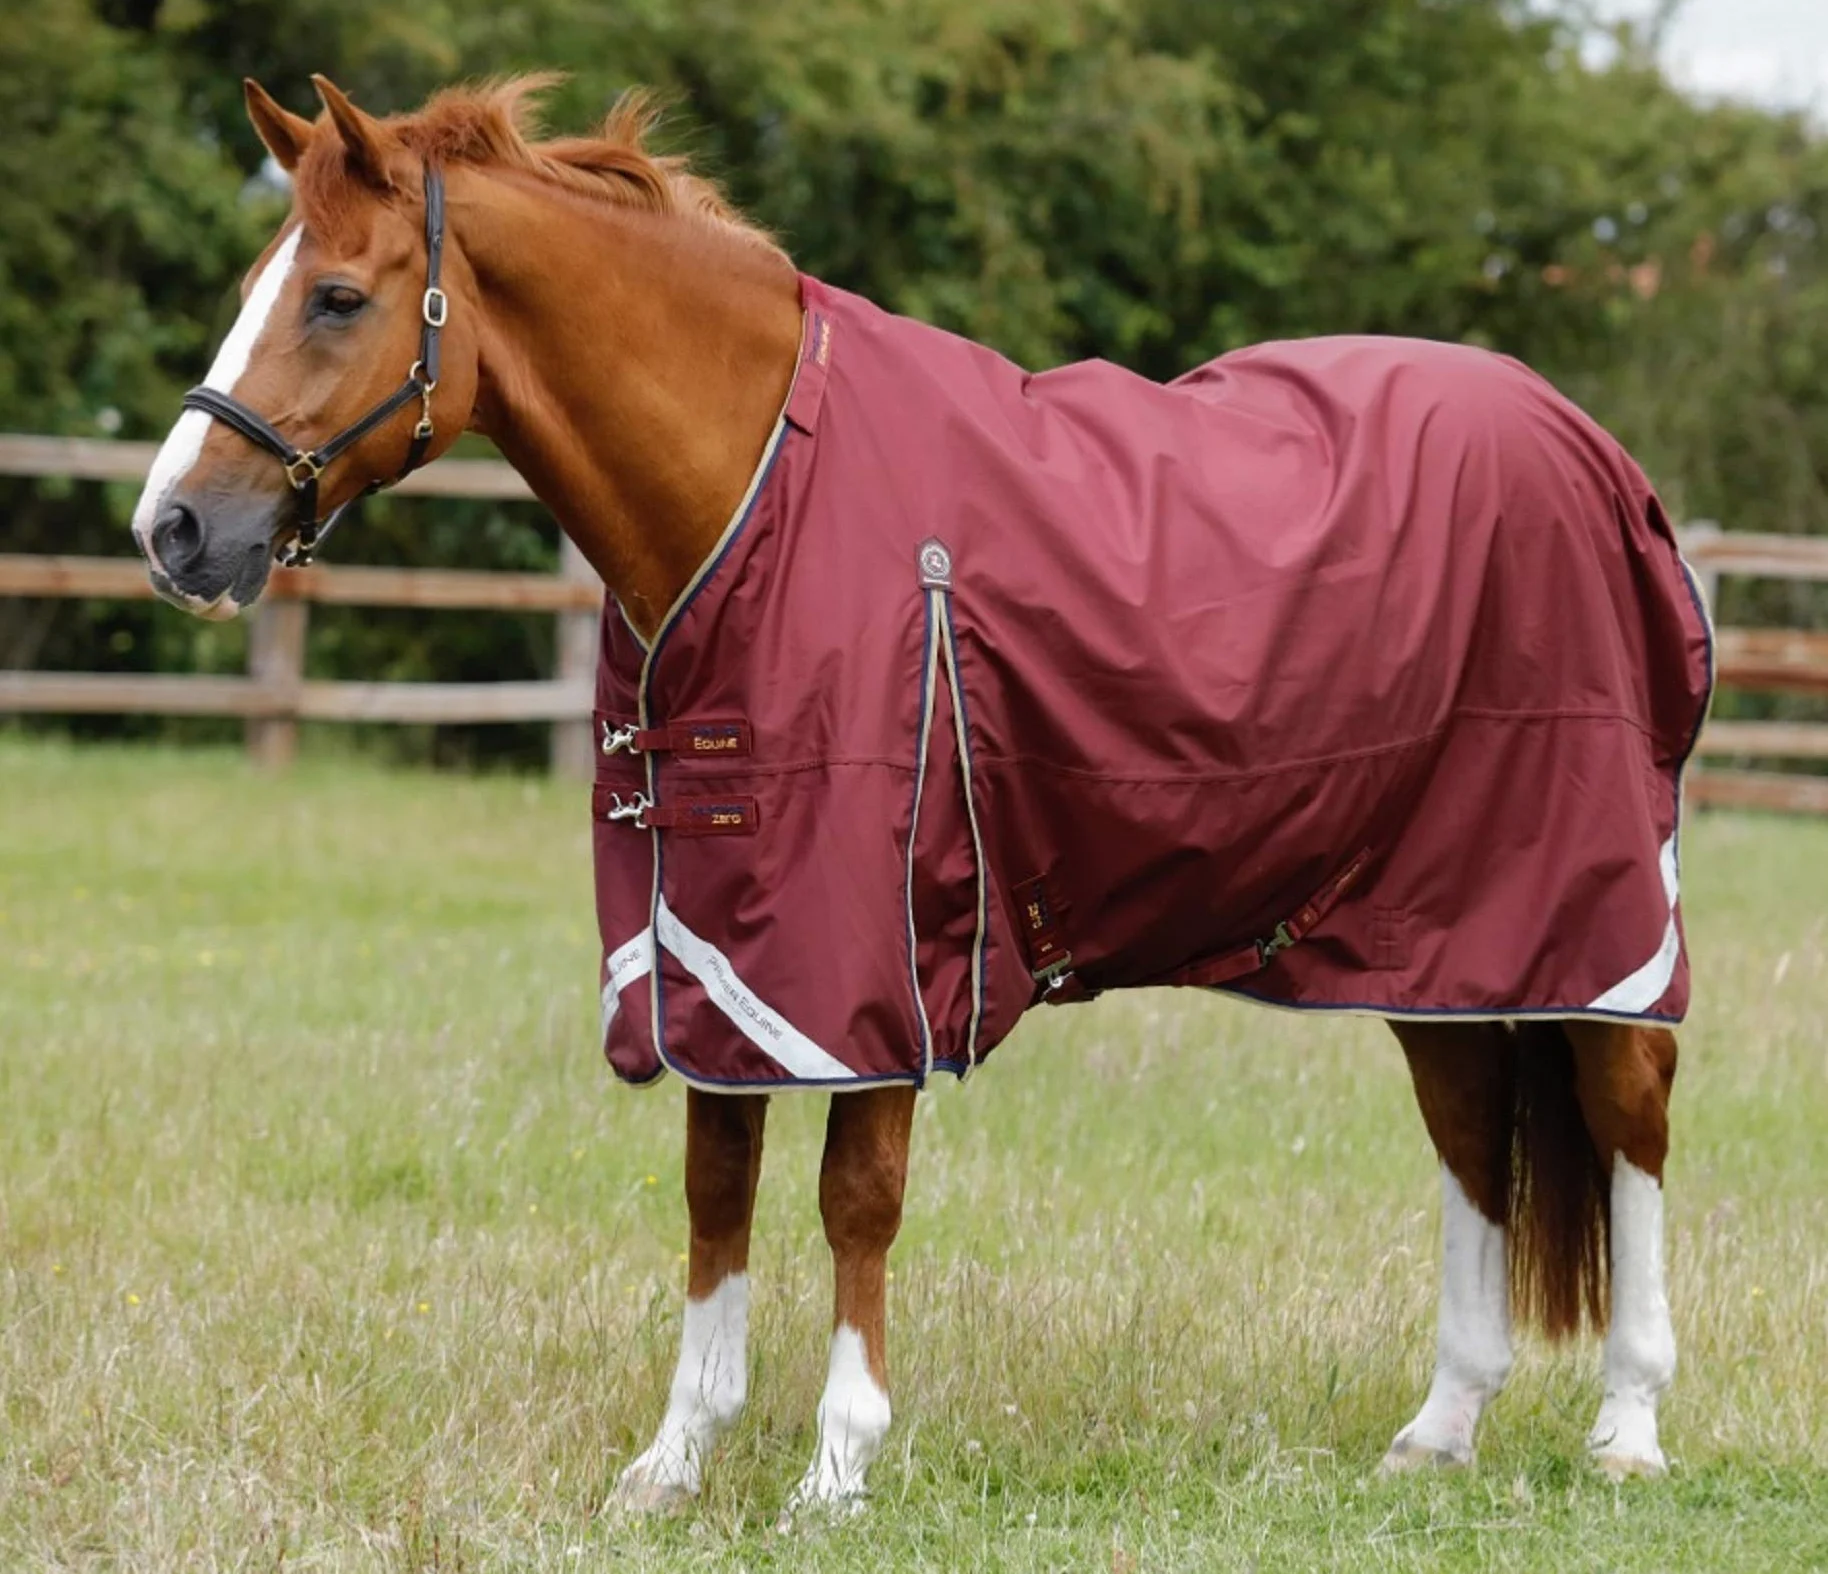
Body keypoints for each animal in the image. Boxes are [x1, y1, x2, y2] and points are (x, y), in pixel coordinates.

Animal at [130, 74, 1709, 1515]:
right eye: (258, 286)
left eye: (338, 296)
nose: (173, 528)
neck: (759, 487)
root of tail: (1590, 448)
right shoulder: (714, 946)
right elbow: (715, 1187)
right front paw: (673, 1460)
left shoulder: (867, 954)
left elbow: (855, 1199)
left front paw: (838, 1464)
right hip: (1432, 931)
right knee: (1470, 1128)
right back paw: (1440, 1427)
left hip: (1594, 911)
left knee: (1628, 1109)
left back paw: (1628, 1426)